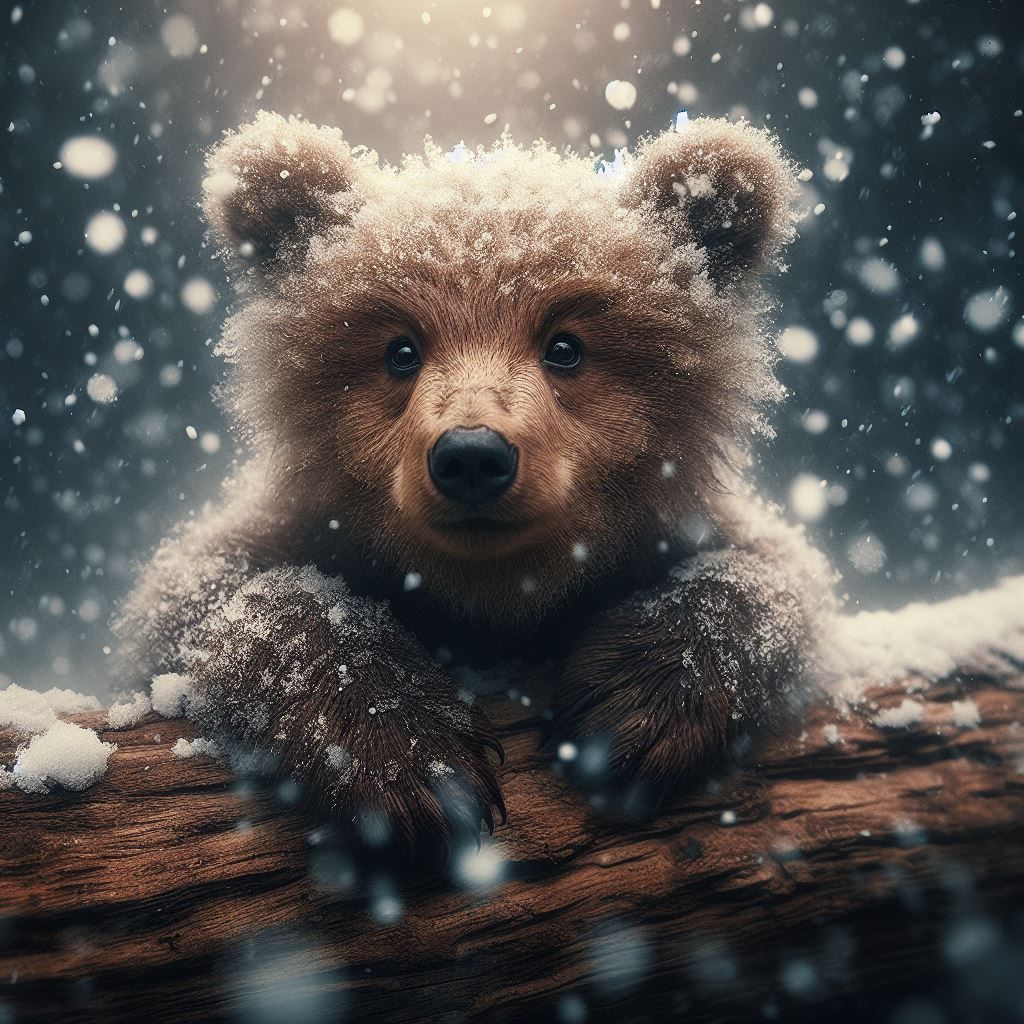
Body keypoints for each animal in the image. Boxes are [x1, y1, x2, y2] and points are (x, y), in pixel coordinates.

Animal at [114, 111, 834, 849]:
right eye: (401, 350)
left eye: (565, 346)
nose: (471, 455)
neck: (492, 594)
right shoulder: (298, 528)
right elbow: (212, 601)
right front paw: (410, 756)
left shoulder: (673, 523)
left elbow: (772, 577)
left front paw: (633, 703)